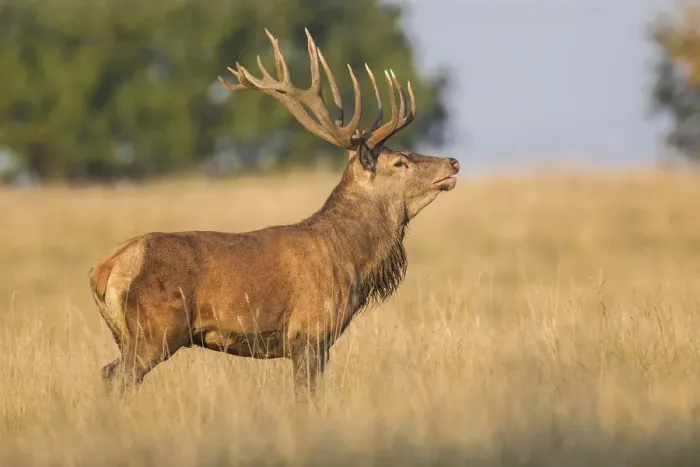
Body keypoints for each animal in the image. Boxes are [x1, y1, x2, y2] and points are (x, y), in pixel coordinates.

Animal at [88, 28, 460, 398]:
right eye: (399, 162)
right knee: (119, 376)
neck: (351, 259)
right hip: (156, 328)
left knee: (107, 371)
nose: (453, 162)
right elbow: (306, 397)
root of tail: (106, 267)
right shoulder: (310, 330)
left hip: (127, 335)